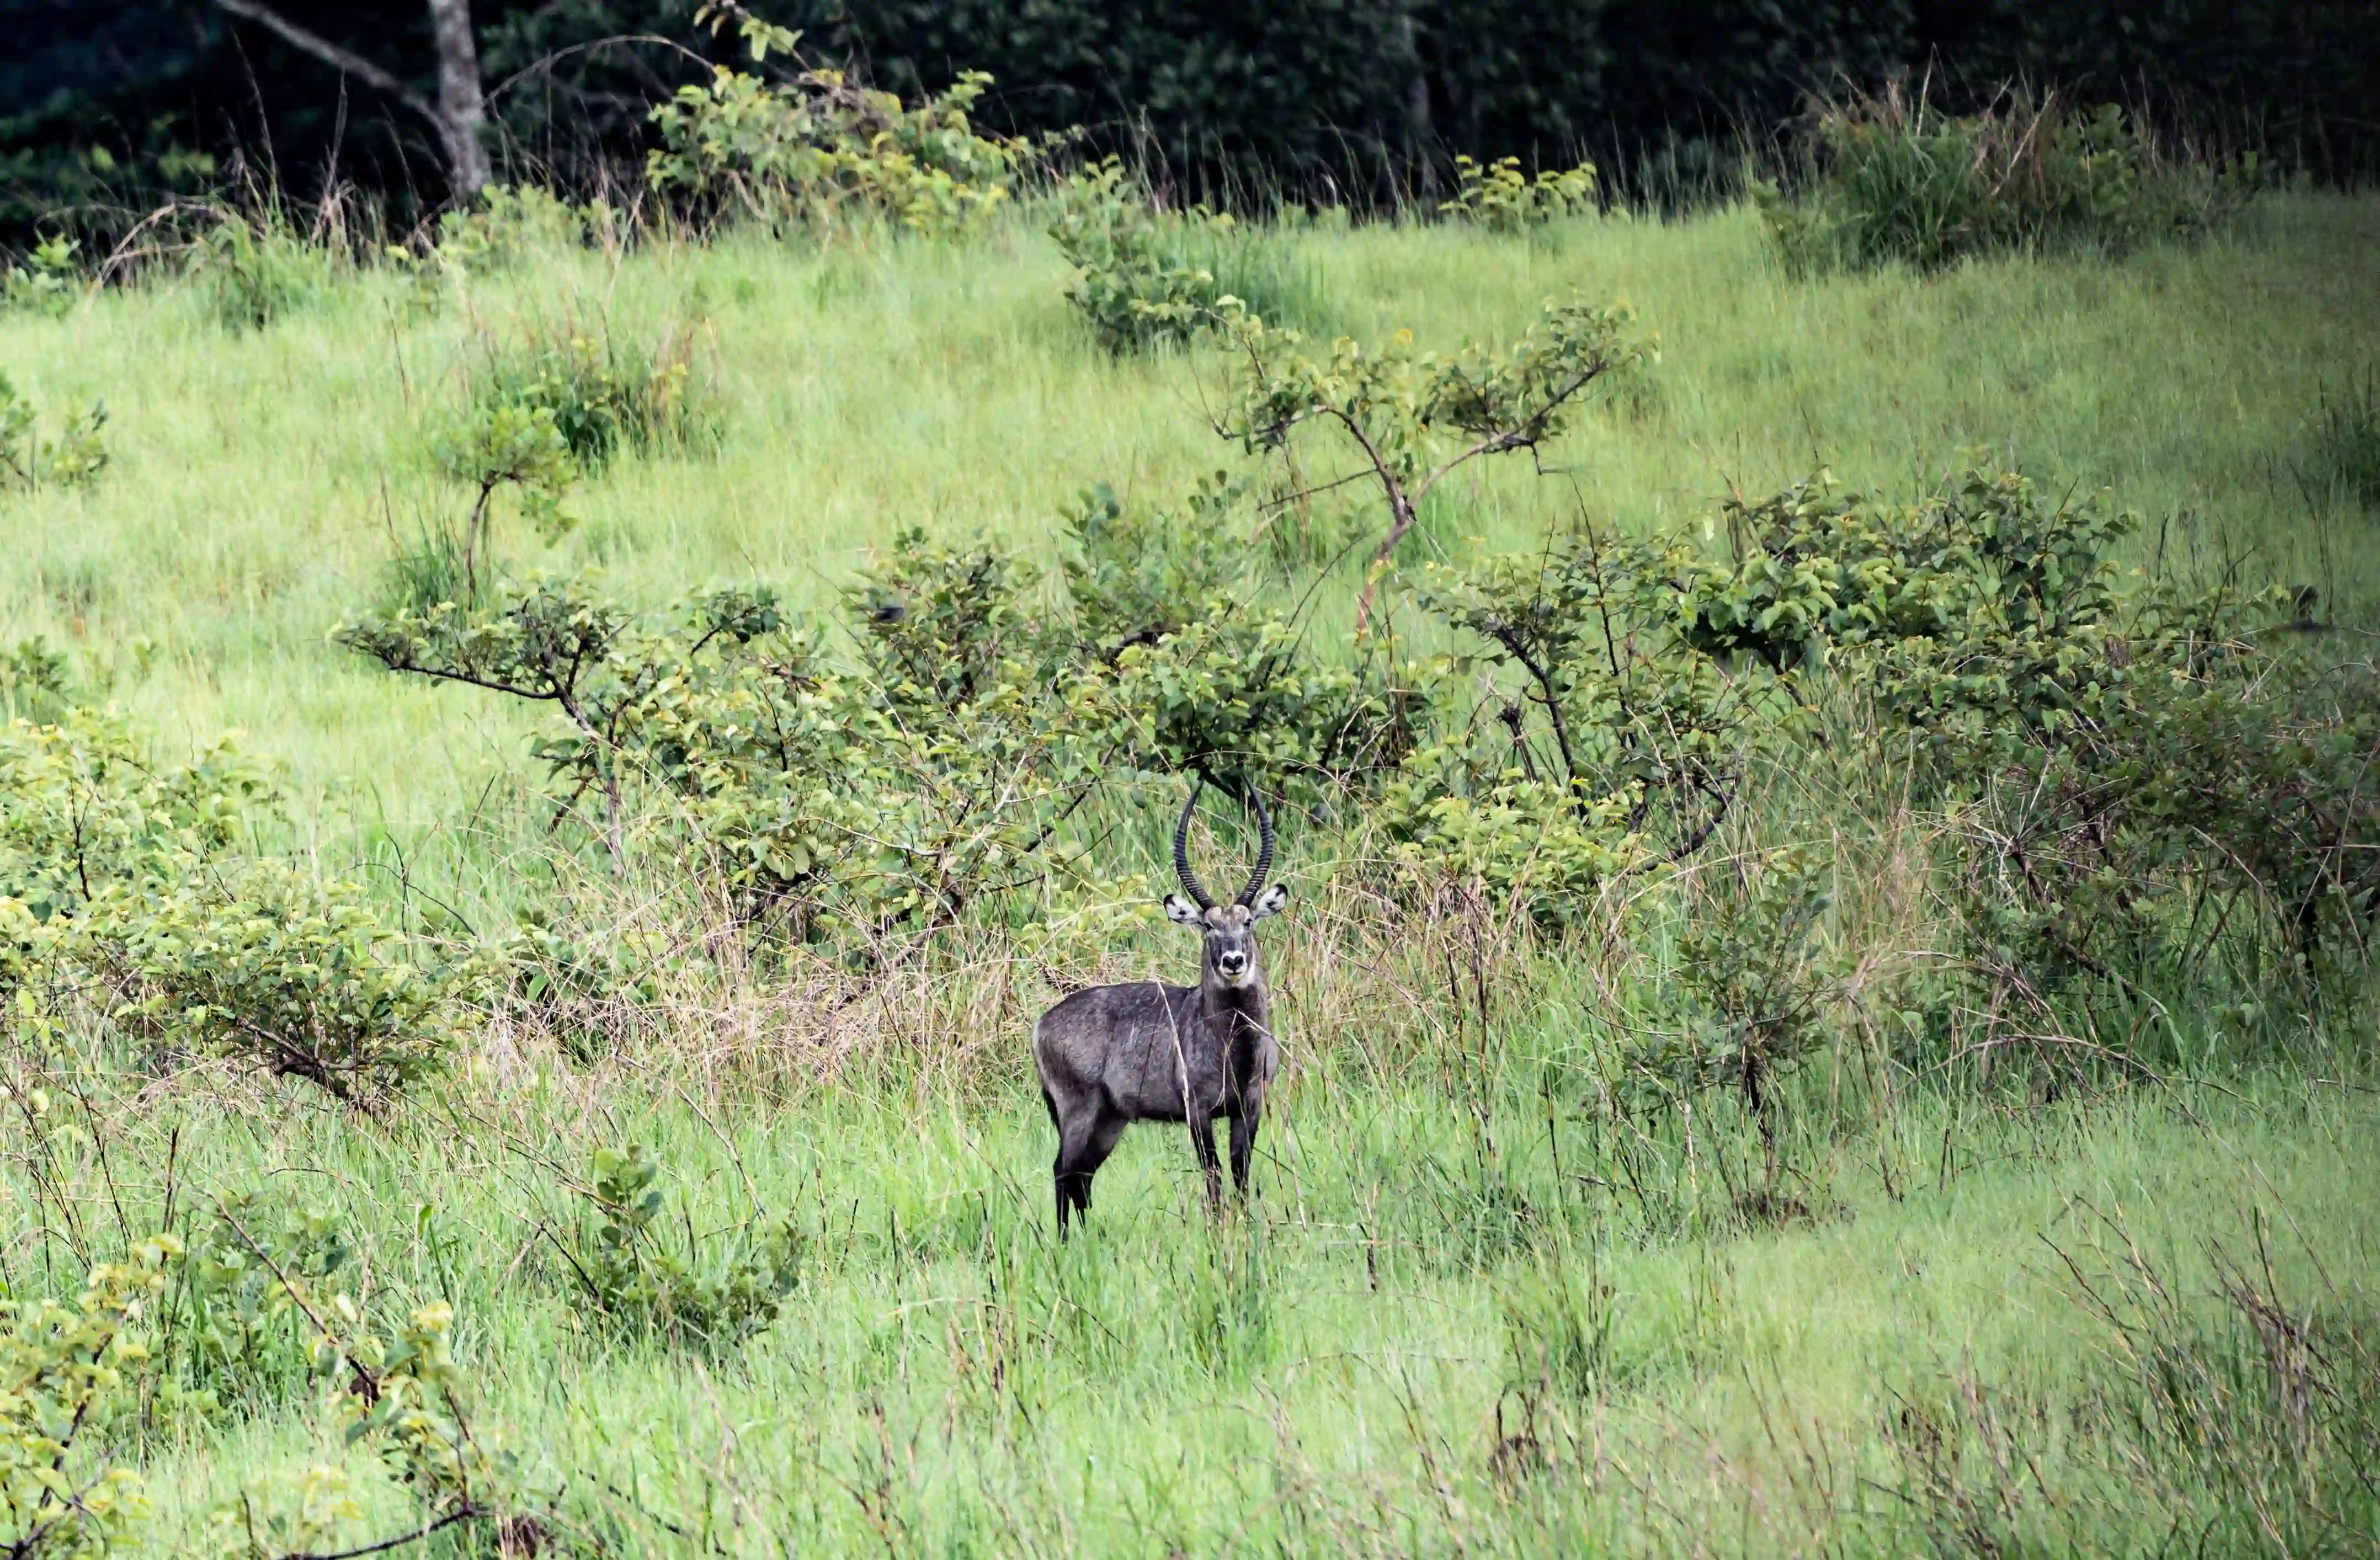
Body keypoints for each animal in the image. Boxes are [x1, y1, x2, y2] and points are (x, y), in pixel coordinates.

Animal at [1023, 786, 1285, 1238]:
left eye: (1249, 921)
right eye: (1207, 926)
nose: (1233, 961)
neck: (1235, 1046)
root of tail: (1042, 1023)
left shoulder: (1249, 1106)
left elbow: (1241, 1173)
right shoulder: (1198, 1111)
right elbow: (1214, 1174)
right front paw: (1218, 1236)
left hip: (1111, 1118)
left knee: (1082, 1176)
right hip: (1079, 1109)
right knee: (1063, 1171)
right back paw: (1065, 1243)